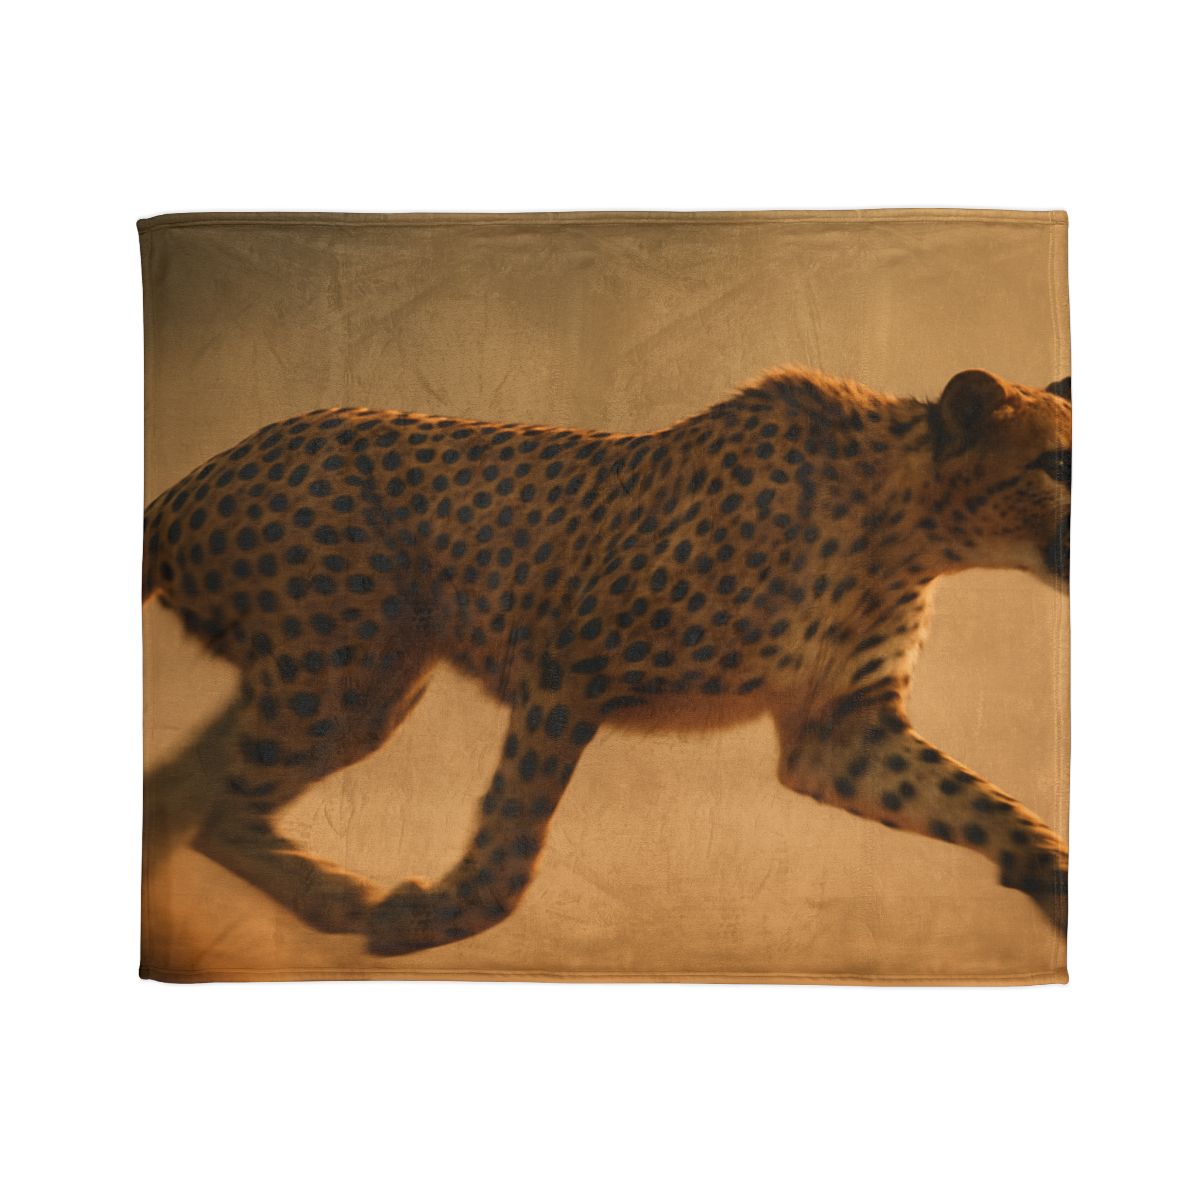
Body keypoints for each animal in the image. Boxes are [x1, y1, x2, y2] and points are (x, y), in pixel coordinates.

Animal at [142, 364, 1071, 955]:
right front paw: (431, 918)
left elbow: (980, 802)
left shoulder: (839, 733)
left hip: (347, 681)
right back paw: (339, 897)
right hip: (341, 678)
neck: (908, 528)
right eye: (1057, 462)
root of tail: (209, 466)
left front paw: (1055, 880)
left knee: (174, 796)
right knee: (220, 811)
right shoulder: (567, 670)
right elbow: (513, 837)